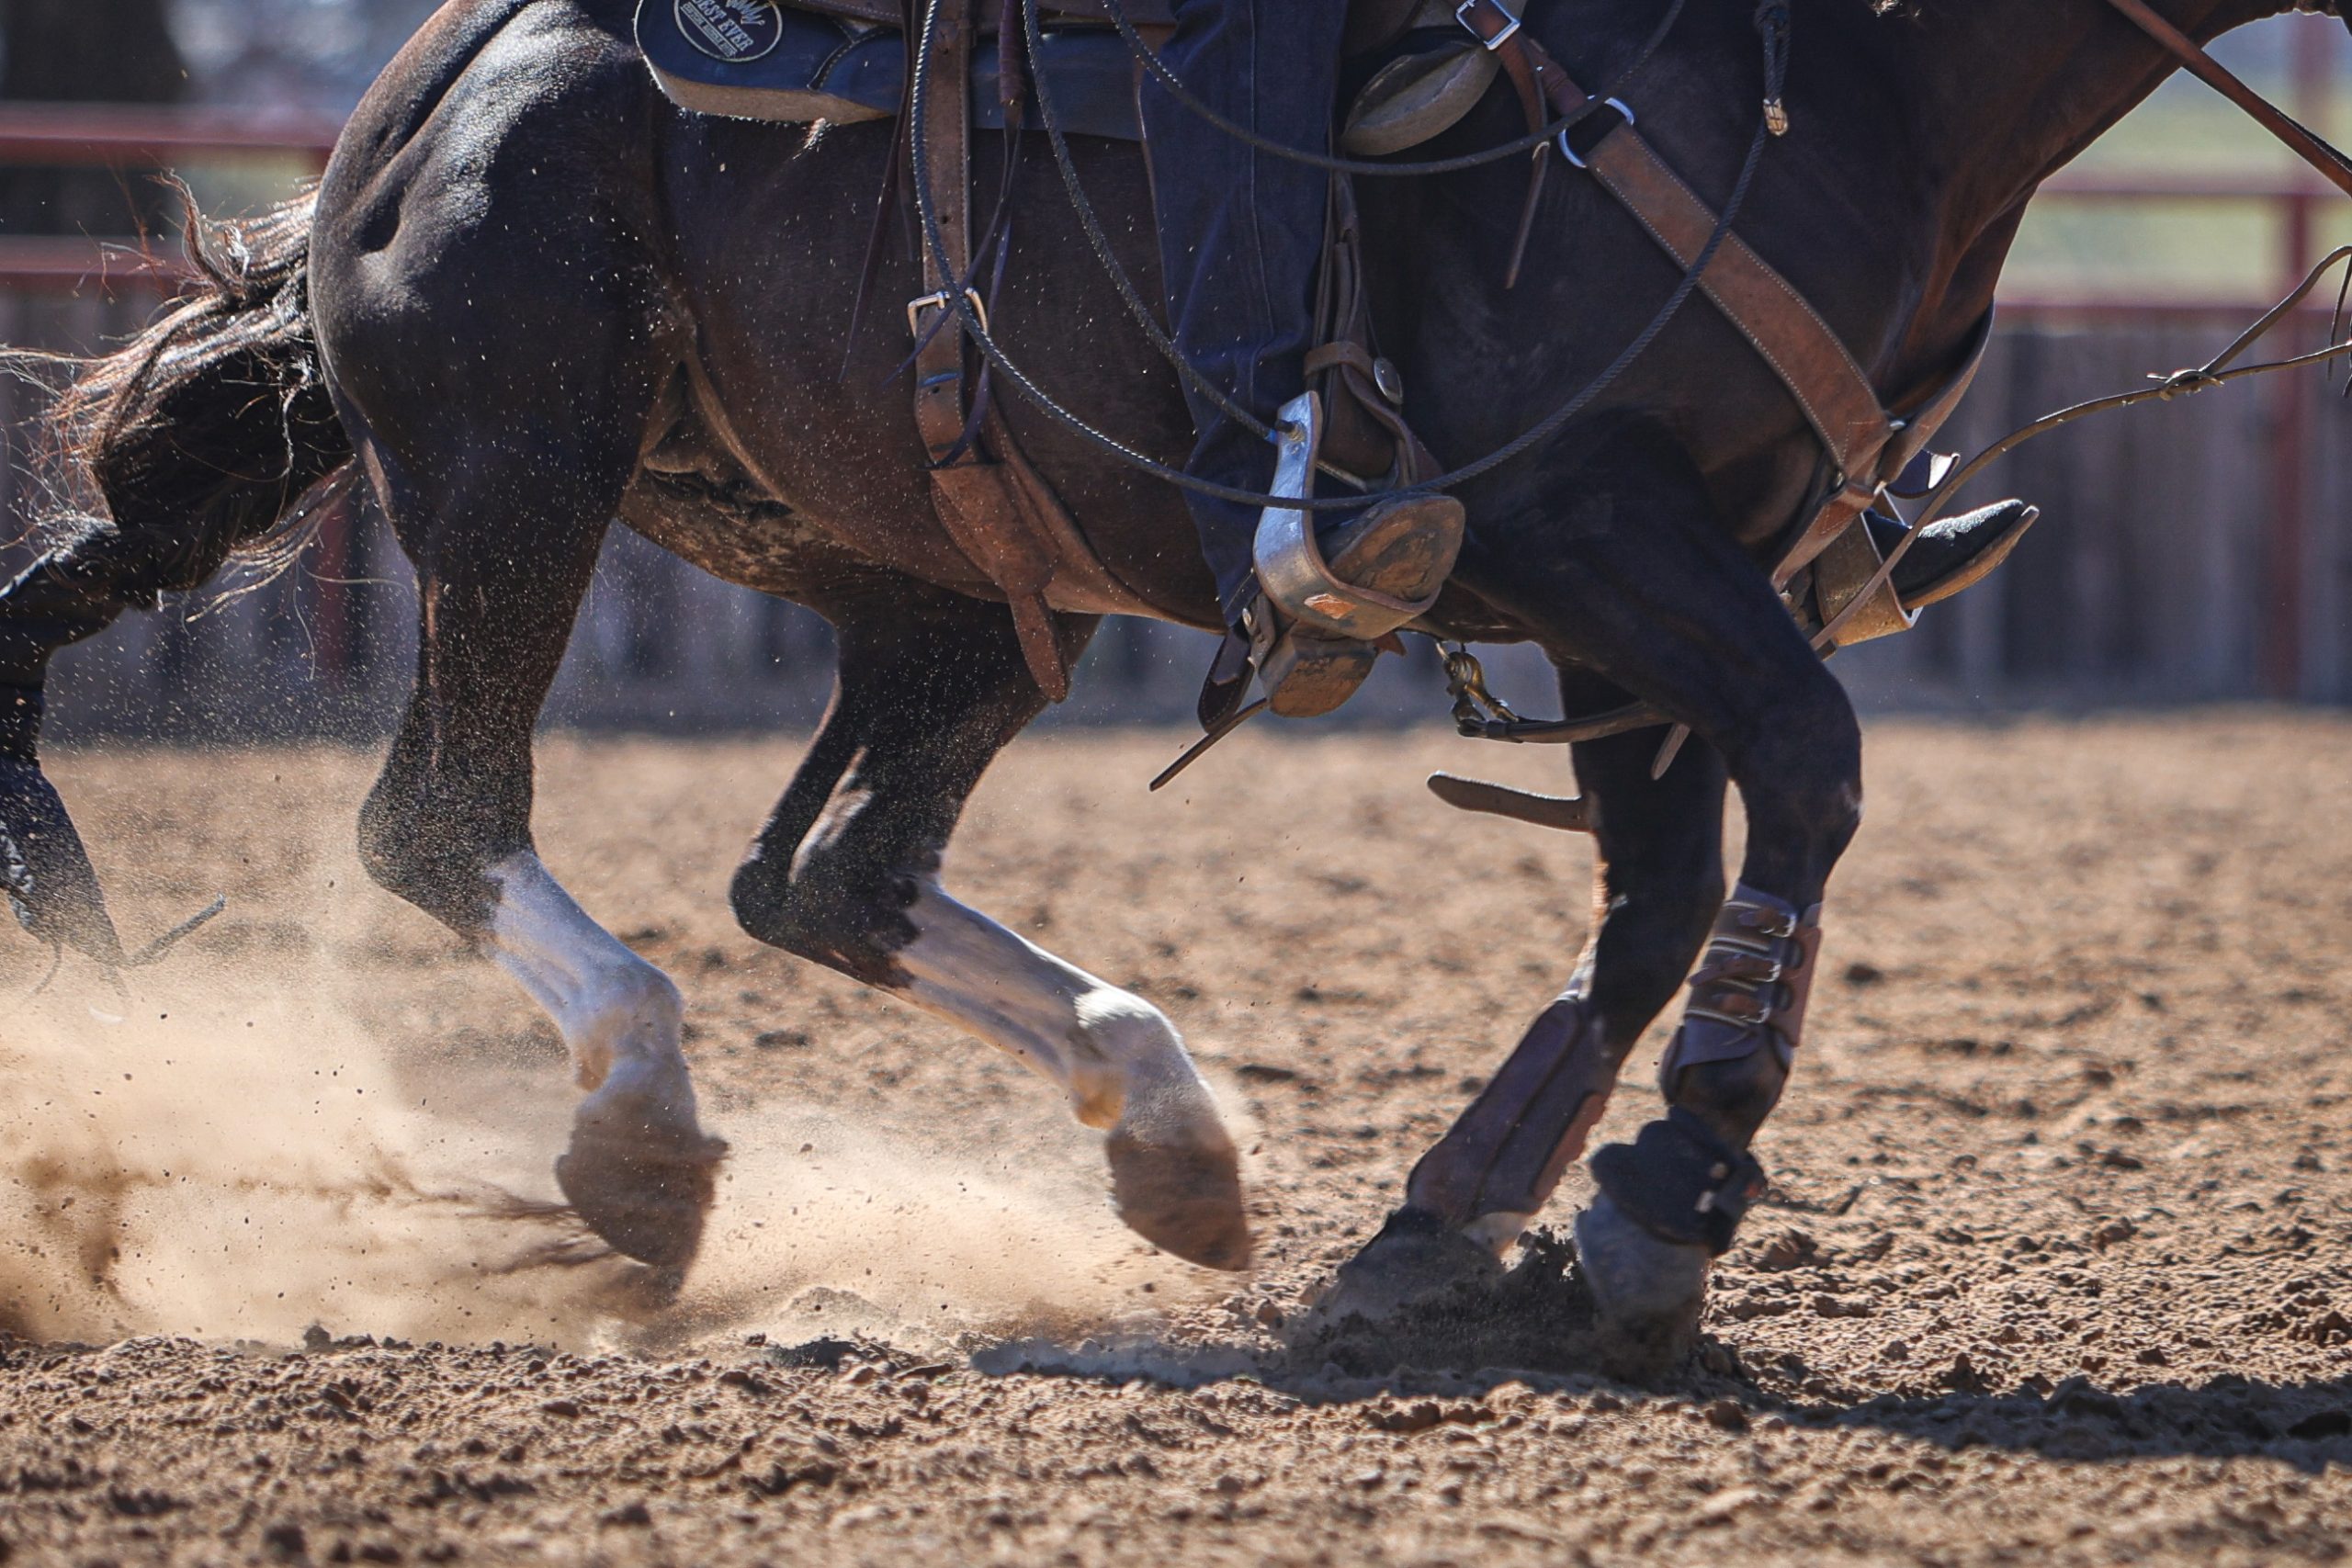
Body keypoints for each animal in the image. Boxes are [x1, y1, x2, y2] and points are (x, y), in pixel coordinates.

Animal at [9, 0, 2342, 1354]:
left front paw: (1467, 1222)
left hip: (942, 591)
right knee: (446, 814)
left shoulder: (1674, 571)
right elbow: (1807, 766)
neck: (1834, 82)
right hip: (522, 466)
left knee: (831, 877)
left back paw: (1163, 1124)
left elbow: (1662, 884)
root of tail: (399, 117)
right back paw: (648, 1123)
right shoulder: (1595, 522)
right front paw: (1666, 1186)